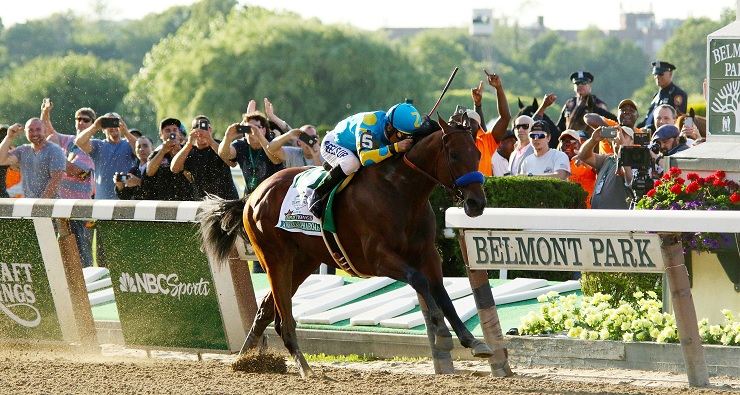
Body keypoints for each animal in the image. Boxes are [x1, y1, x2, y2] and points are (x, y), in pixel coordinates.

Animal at [199, 117, 494, 378]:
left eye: (478, 153)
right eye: (454, 155)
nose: (476, 203)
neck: (400, 192)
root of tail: (253, 195)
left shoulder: (427, 253)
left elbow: (441, 292)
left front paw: (473, 341)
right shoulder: (377, 258)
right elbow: (419, 280)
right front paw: (442, 335)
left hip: (302, 262)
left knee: (266, 311)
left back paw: (244, 361)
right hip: (275, 258)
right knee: (284, 318)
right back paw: (304, 368)